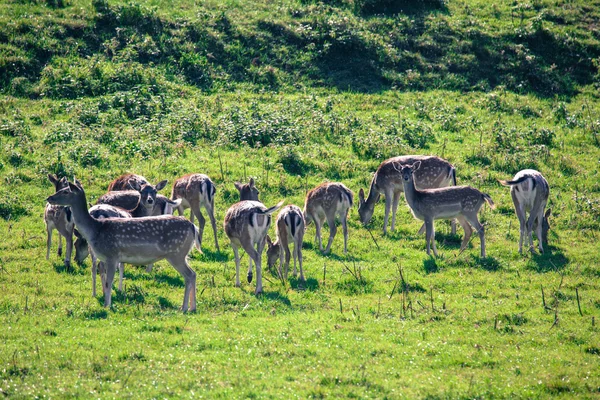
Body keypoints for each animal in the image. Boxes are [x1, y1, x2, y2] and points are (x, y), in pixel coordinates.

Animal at [47, 178, 200, 312]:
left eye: (66, 191)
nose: (49, 197)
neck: (96, 229)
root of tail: (193, 227)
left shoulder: (112, 255)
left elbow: (109, 282)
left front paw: (107, 305)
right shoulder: (105, 257)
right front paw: (106, 301)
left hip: (177, 253)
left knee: (189, 275)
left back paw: (184, 307)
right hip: (181, 254)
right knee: (193, 274)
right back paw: (192, 307)